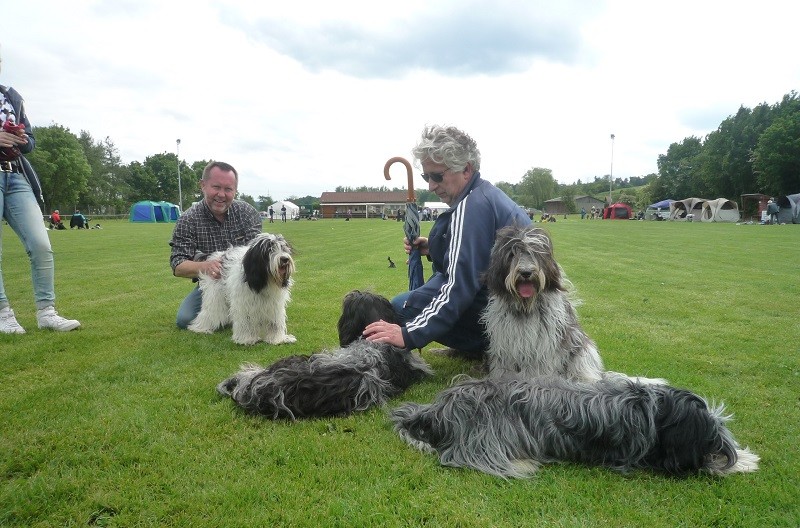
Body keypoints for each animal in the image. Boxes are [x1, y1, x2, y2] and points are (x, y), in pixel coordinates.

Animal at [390, 376, 760, 478]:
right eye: (709, 436)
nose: (724, 449)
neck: (652, 409)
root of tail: (438, 408)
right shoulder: (642, 455)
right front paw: (738, 462)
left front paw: (744, 457)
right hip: (485, 433)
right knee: (462, 456)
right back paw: (521, 463)